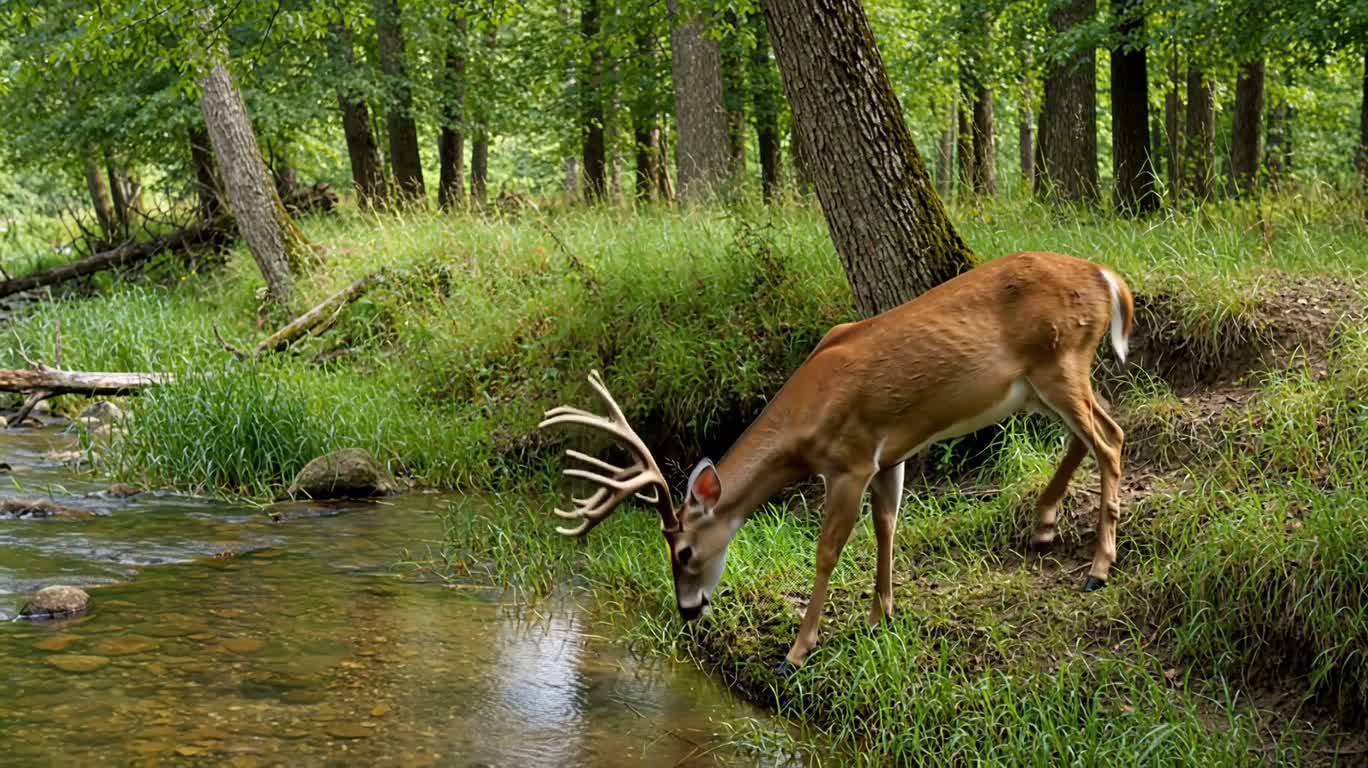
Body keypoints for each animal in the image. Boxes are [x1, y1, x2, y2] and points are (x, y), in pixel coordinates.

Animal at [540, 251, 1134, 675]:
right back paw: (1044, 524)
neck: (806, 417)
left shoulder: (849, 459)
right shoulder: (888, 455)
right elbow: (887, 524)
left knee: (1110, 438)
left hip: (1059, 359)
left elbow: (827, 551)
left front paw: (796, 652)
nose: (688, 610)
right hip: (1043, 383)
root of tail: (1108, 278)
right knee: (1095, 430)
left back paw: (1098, 568)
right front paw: (880, 617)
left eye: (683, 551)